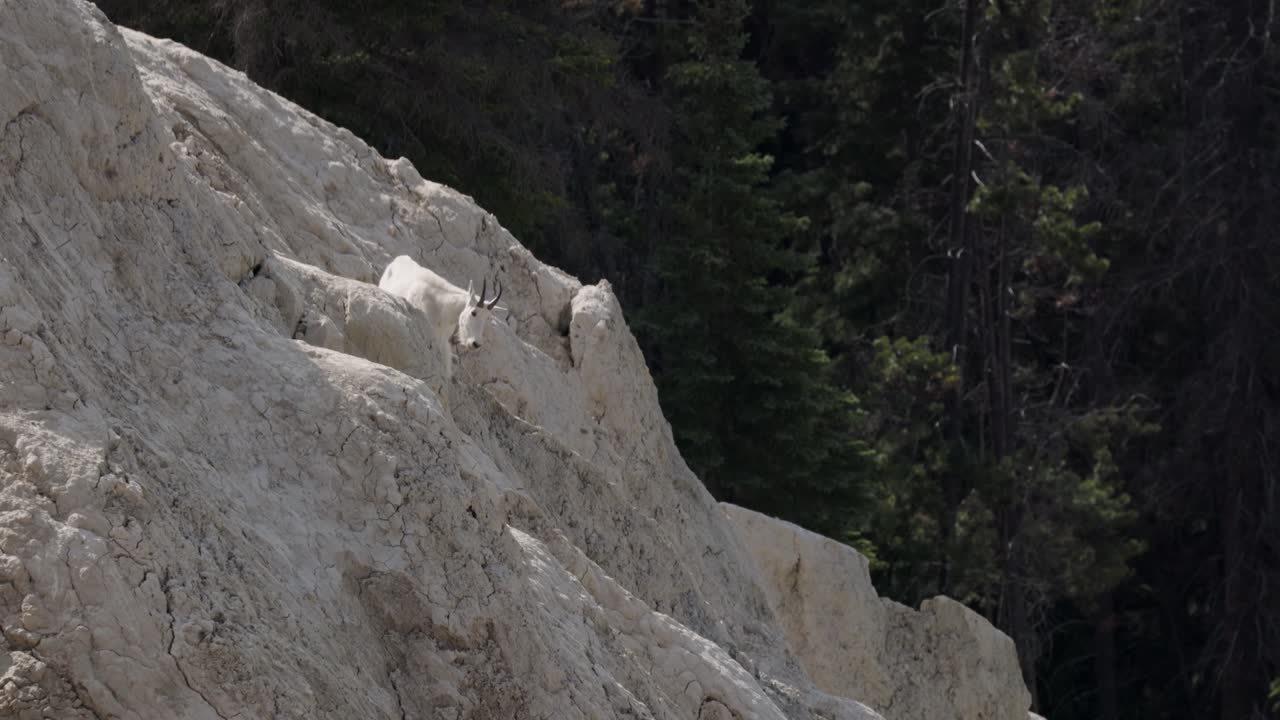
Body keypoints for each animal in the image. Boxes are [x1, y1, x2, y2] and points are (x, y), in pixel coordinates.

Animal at [378, 255, 502, 398]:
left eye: (487, 318)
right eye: (473, 312)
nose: (476, 344)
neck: (442, 308)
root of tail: (397, 259)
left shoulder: (442, 340)